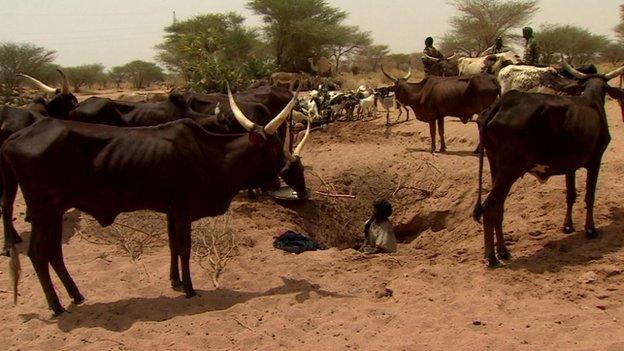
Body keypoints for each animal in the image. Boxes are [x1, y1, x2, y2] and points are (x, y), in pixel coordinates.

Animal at [2, 89, 310, 314]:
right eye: (274, 149)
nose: (298, 185)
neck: (210, 155)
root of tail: (14, 139)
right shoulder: (183, 210)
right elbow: (184, 248)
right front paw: (189, 288)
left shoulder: (171, 210)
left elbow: (173, 246)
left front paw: (175, 281)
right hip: (42, 210)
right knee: (38, 254)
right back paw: (56, 306)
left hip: (54, 211)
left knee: (53, 252)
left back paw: (75, 295)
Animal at [472, 62, 624, 266]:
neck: (592, 101)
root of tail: (501, 103)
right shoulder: (595, 160)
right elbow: (589, 196)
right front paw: (590, 230)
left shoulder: (570, 166)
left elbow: (571, 195)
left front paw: (568, 226)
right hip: (509, 170)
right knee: (490, 207)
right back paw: (492, 256)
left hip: (494, 165)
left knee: (498, 208)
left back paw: (503, 251)